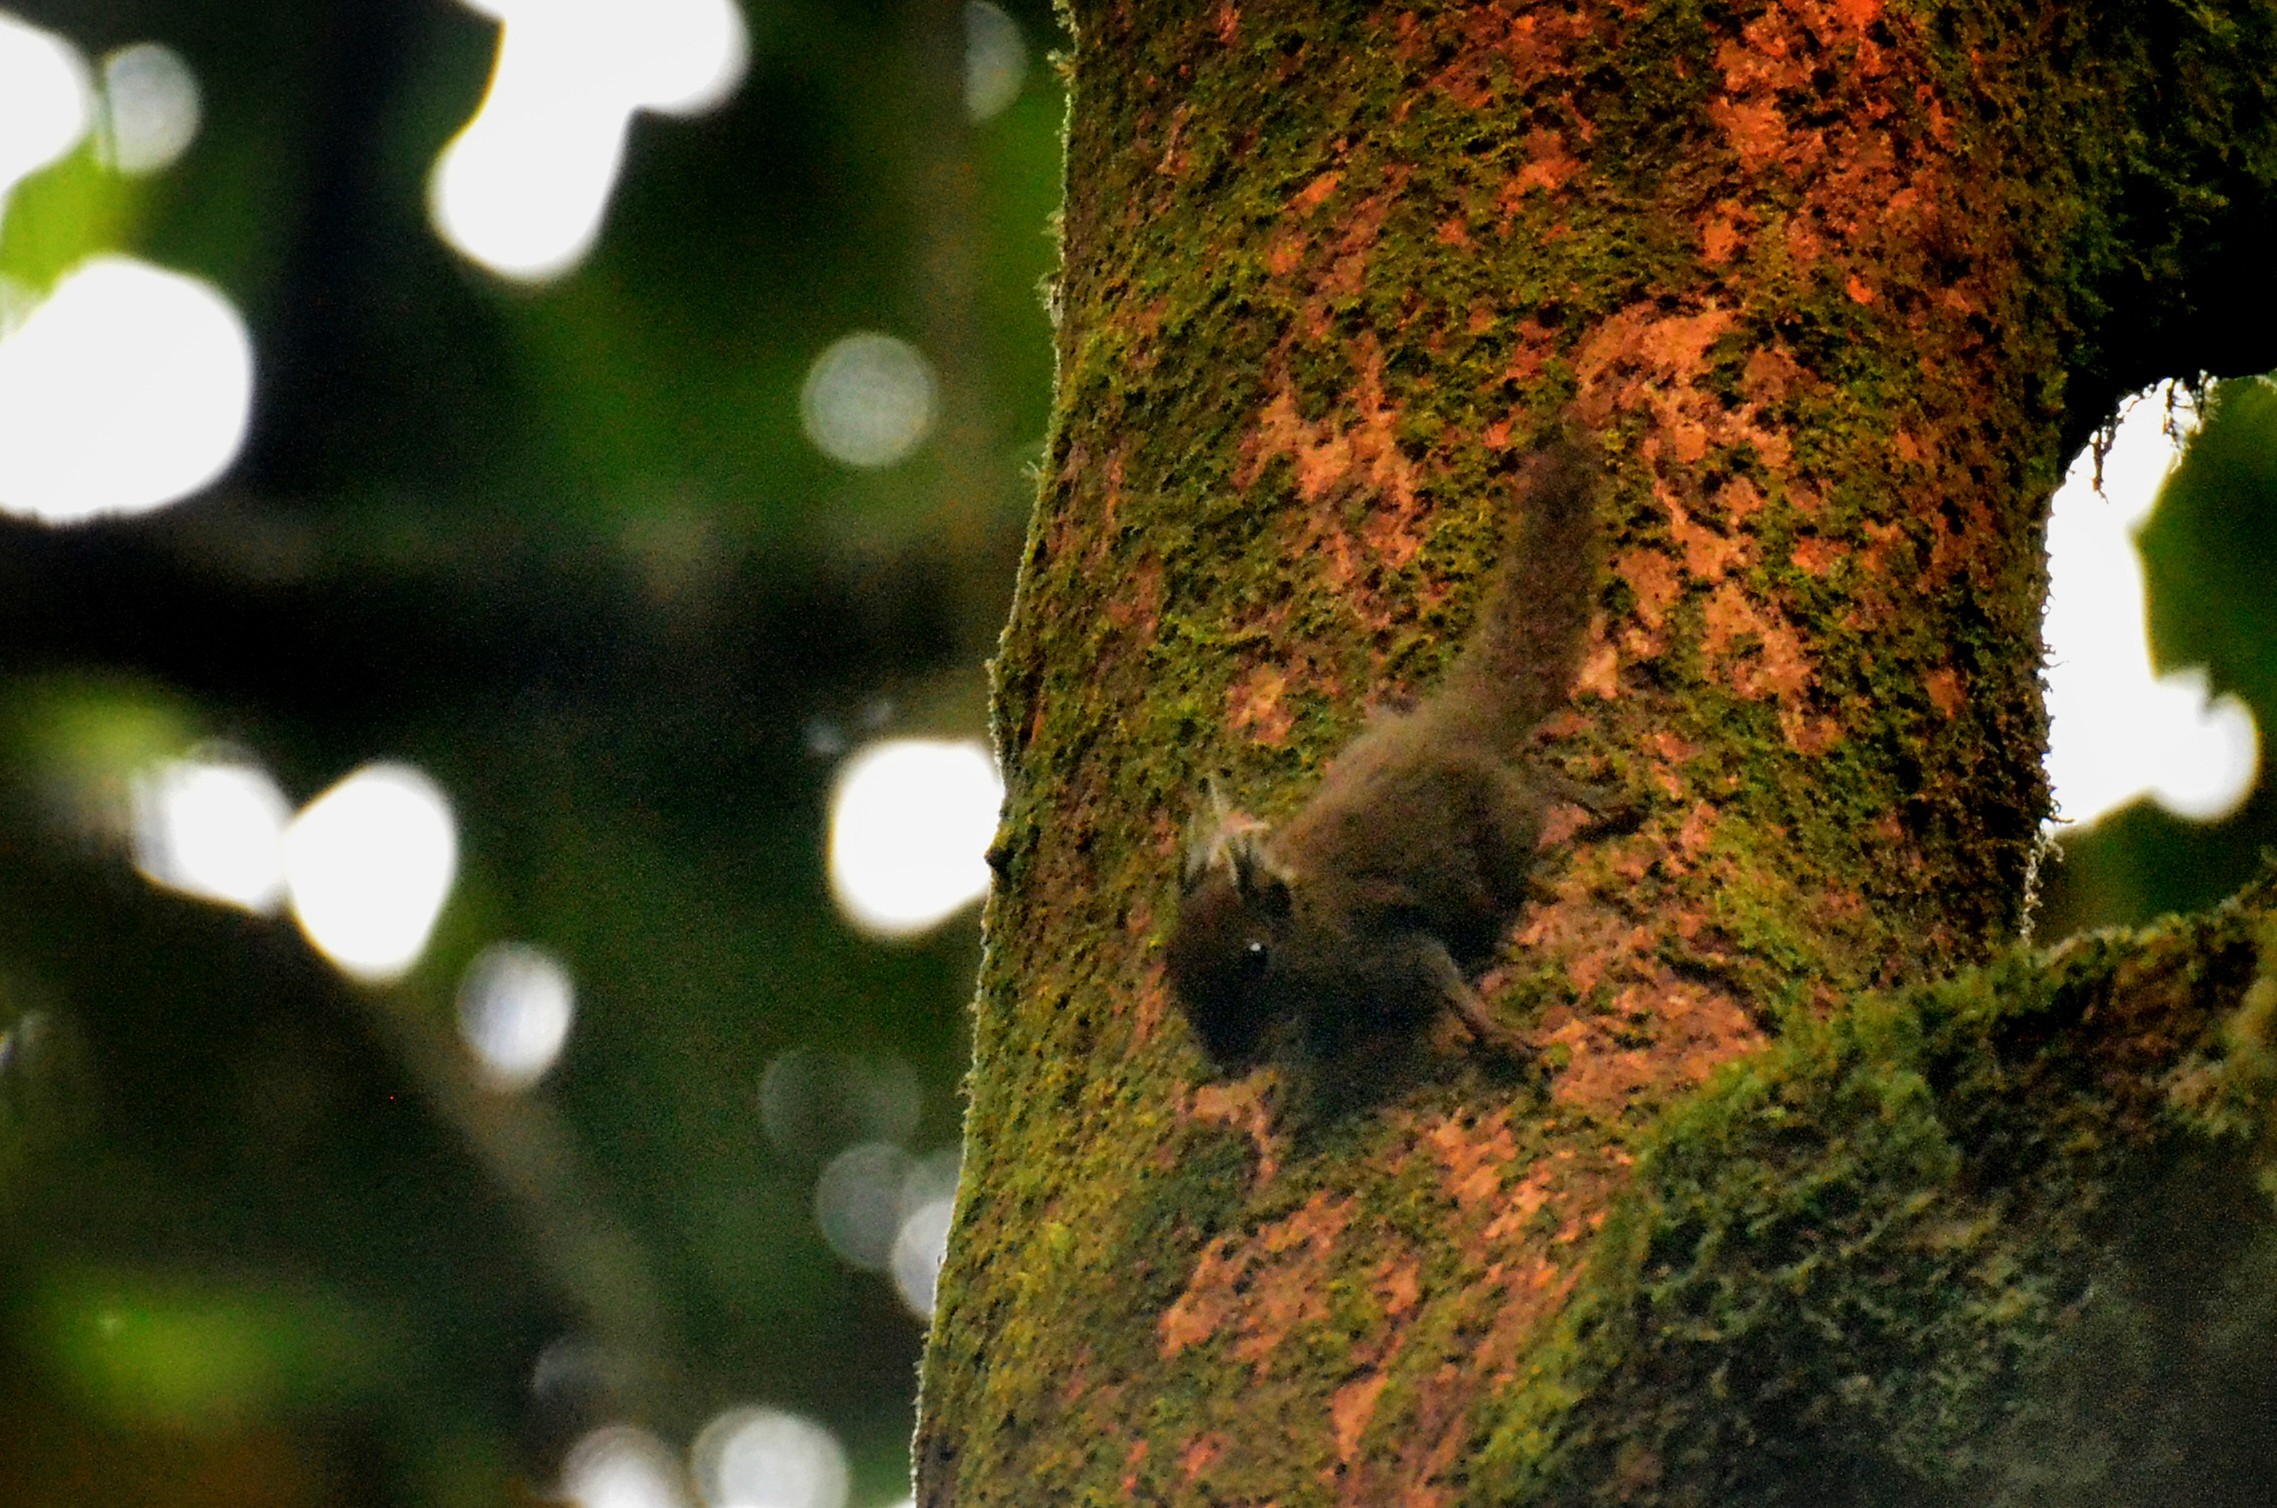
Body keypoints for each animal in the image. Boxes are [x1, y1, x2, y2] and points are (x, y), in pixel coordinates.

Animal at [1164, 437, 1603, 1071]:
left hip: (1498, 818)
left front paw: (1499, 1037)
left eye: (1255, 954)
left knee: (1536, 792)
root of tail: (1451, 721)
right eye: (1172, 965)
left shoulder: (1377, 938)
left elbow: (1440, 975)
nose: (1225, 1060)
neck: (1305, 909)